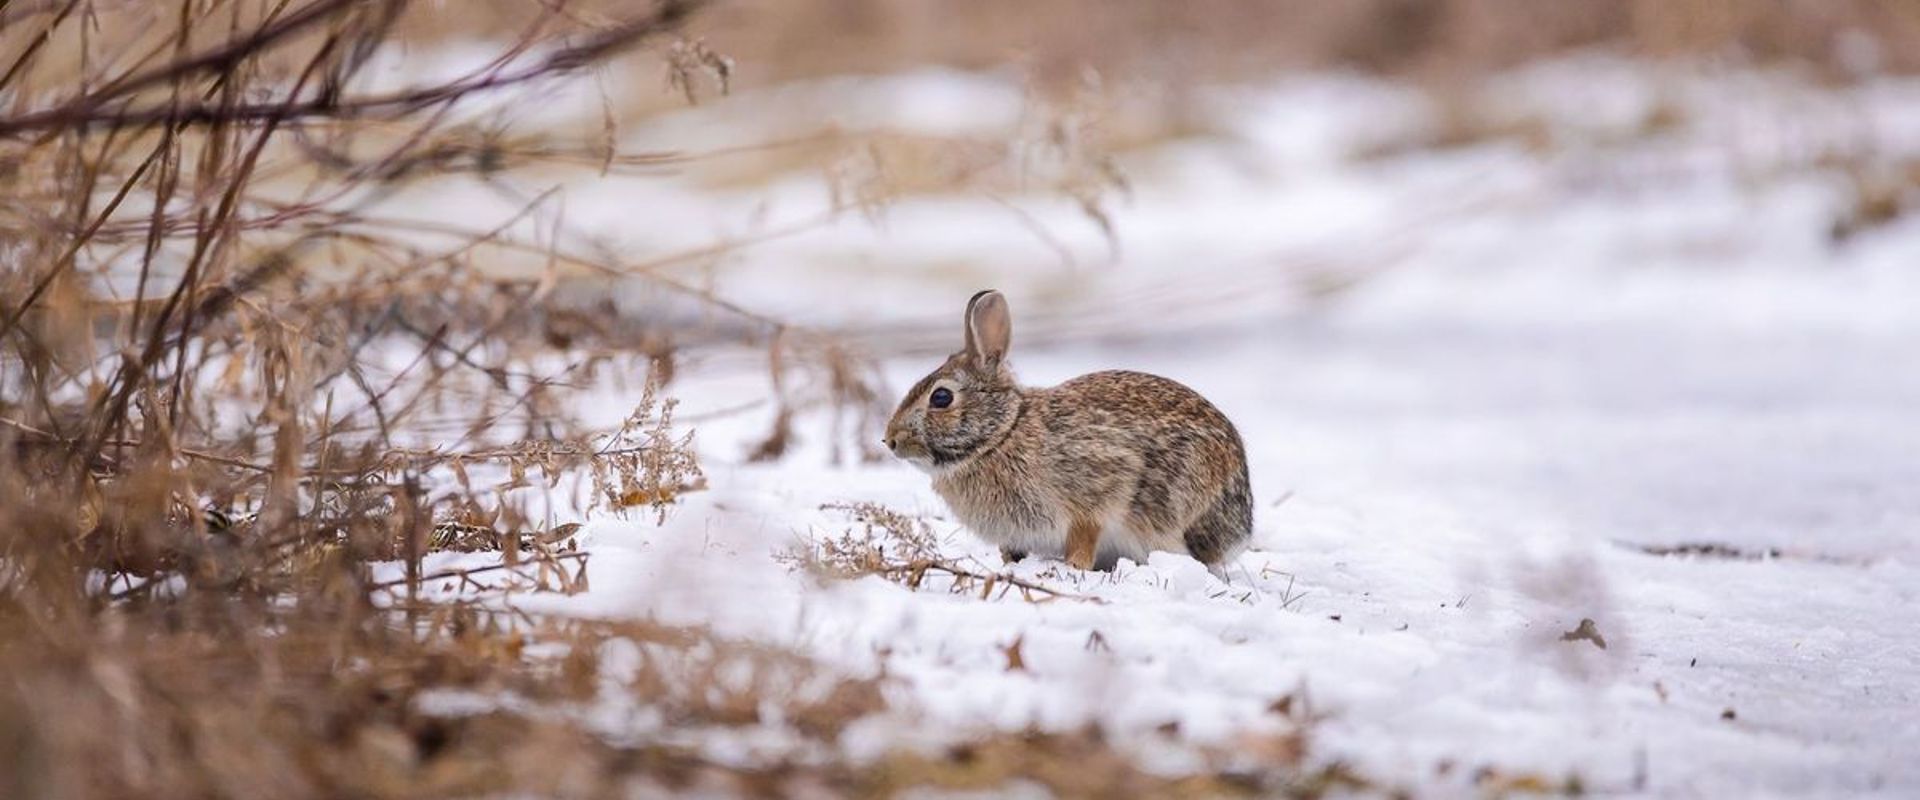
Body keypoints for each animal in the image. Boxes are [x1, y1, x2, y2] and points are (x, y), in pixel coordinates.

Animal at [883, 289, 1252, 575]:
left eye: (941, 398)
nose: (890, 440)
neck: (1002, 434)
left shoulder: (1097, 487)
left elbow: (1084, 534)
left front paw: (1073, 568)